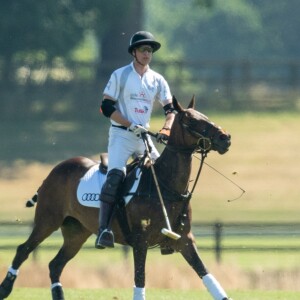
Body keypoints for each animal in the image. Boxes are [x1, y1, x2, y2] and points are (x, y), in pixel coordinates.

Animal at [0, 96, 232, 300]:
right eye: (191, 120)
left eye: (205, 116)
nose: (225, 138)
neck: (166, 186)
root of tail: (55, 170)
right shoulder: (140, 240)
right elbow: (139, 279)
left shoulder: (185, 239)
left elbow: (205, 273)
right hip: (48, 220)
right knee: (23, 250)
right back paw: (5, 288)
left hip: (77, 231)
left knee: (55, 264)